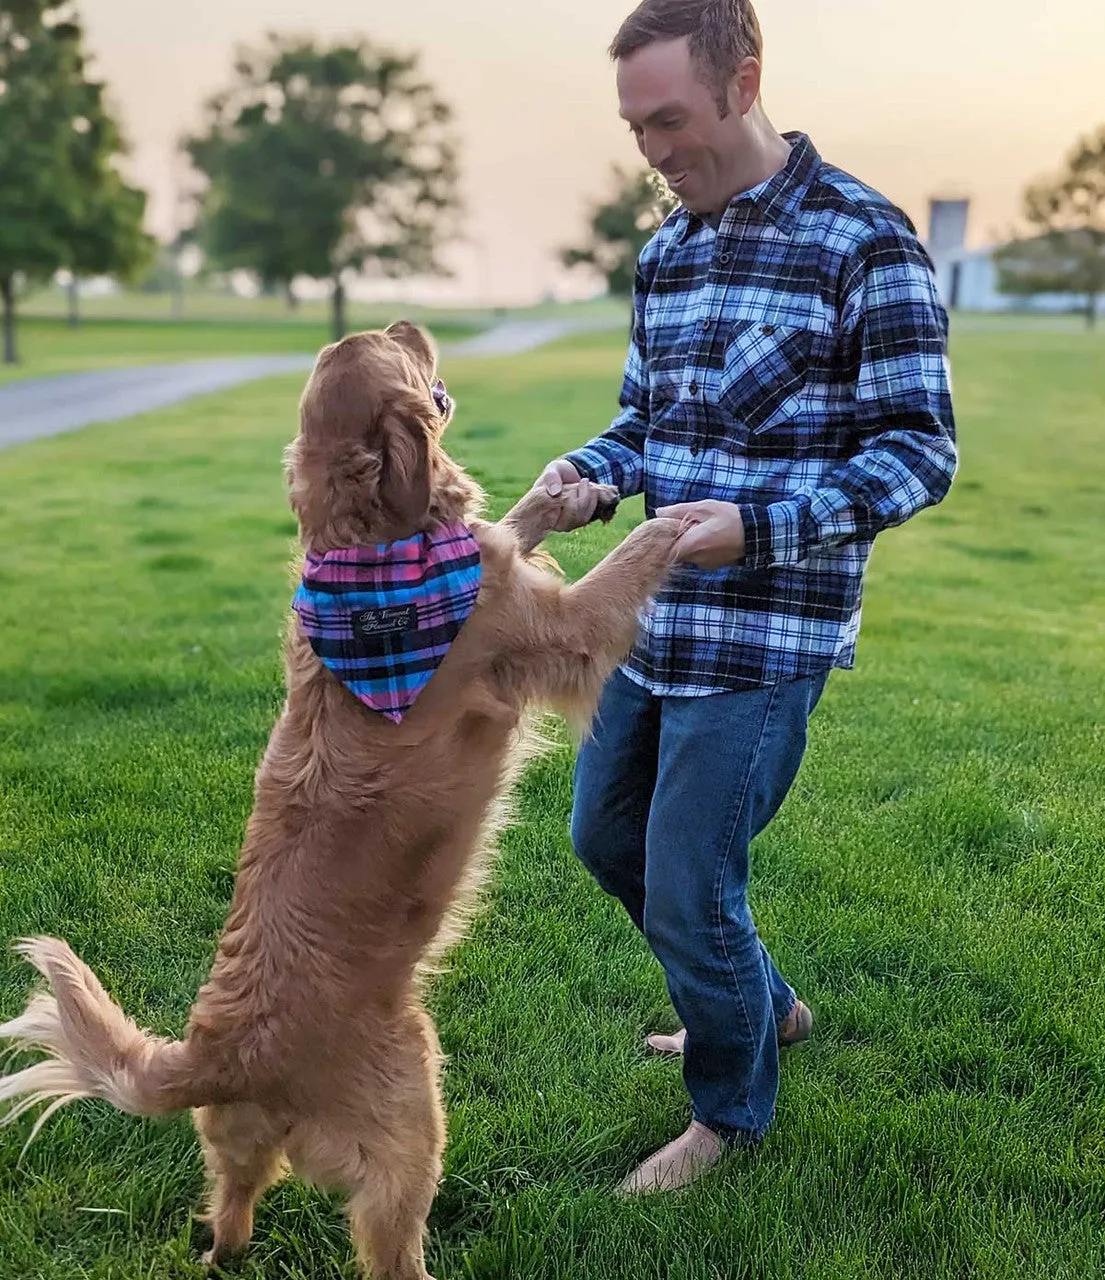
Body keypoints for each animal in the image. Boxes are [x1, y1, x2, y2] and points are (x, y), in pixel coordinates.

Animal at [0, 322, 681, 1280]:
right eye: (394, 353)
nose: (407, 323)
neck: (373, 549)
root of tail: (219, 1053)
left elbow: (510, 524)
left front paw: (565, 495)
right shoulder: (563, 632)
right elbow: (627, 563)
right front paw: (688, 521)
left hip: (241, 1147)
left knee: (229, 1214)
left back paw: (223, 1248)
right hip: (411, 1124)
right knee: (391, 1249)